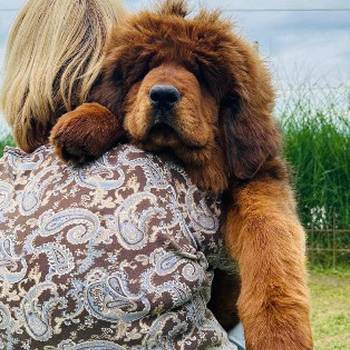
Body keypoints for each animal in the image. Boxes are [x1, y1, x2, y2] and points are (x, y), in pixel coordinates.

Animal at [50, 1, 314, 348]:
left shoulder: (259, 176)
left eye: (200, 74)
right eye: (145, 69)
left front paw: (280, 328)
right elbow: (117, 113)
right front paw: (85, 121)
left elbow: (269, 235)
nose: (162, 94)